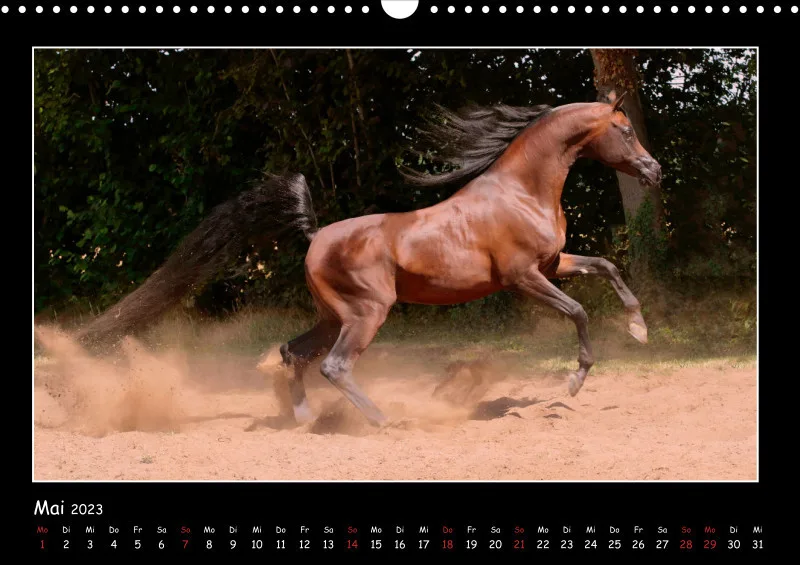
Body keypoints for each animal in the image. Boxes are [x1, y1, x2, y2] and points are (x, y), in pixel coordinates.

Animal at [269, 91, 661, 427]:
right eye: (626, 131)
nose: (655, 171)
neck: (522, 193)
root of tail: (316, 238)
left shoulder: (552, 264)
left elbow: (606, 266)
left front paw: (638, 328)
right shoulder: (523, 277)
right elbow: (578, 310)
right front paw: (575, 381)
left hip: (334, 317)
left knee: (293, 351)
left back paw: (304, 417)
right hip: (366, 313)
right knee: (334, 366)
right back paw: (385, 421)